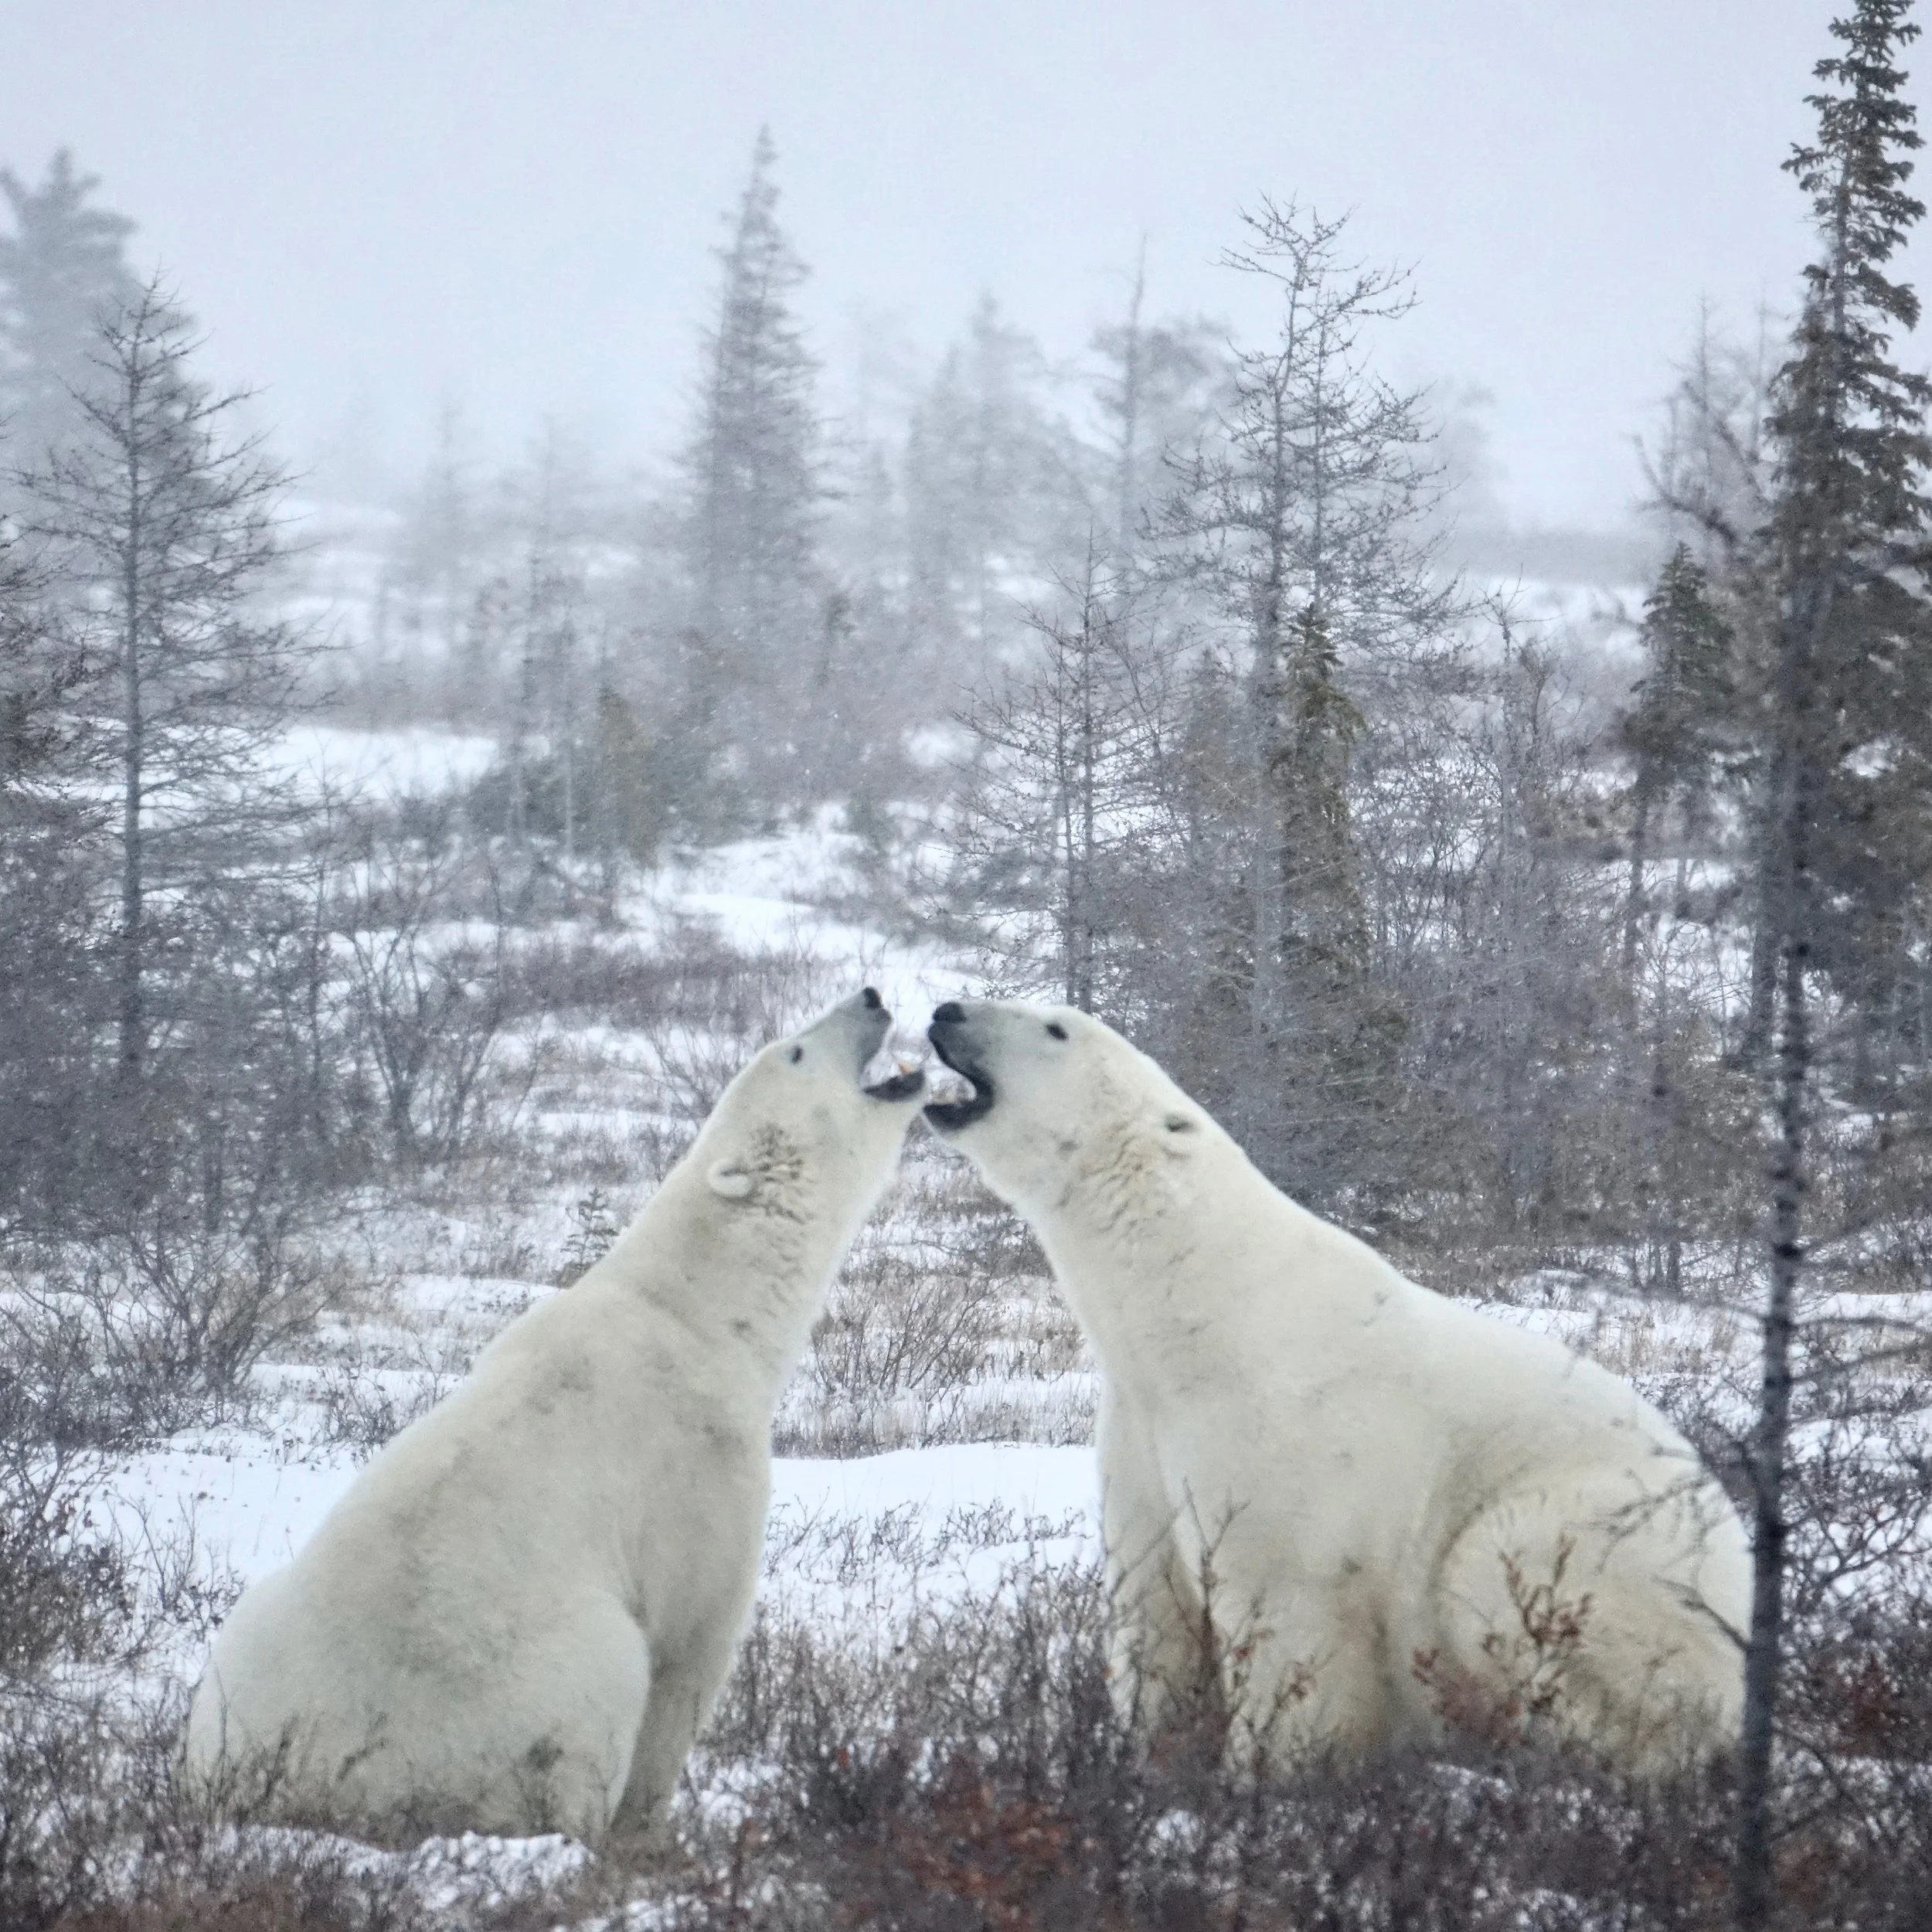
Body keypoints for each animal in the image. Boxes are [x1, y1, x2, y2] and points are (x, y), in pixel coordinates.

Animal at [184, 989, 926, 1845]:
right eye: (797, 1052)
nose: (870, 996)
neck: (697, 1311)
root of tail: (284, 1782)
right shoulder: (697, 1466)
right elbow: (689, 1645)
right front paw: (654, 1833)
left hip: (242, 1647)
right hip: (522, 1681)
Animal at [924, 998, 1749, 1775]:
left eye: (1056, 1028)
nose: (946, 1010)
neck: (1201, 1307)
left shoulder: (1282, 1434)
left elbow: (1287, 1610)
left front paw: (1263, 1777)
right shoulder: (1142, 1434)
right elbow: (1154, 1612)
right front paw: (1152, 1767)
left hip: (1615, 1543)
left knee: (1501, 1577)